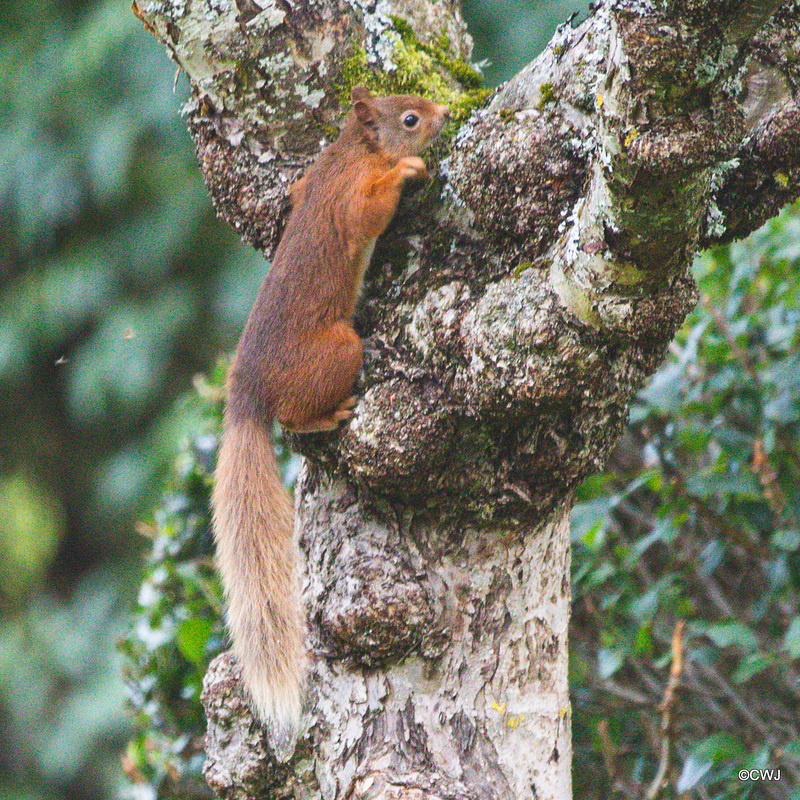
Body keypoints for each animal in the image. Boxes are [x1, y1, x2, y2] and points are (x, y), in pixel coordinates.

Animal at [212, 87, 450, 736]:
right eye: (410, 118)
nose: (446, 112)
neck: (350, 152)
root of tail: (248, 393)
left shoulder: (312, 178)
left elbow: (294, 191)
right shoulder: (348, 199)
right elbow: (369, 213)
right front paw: (409, 170)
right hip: (340, 348)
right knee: (294, 419)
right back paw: (329, 415)